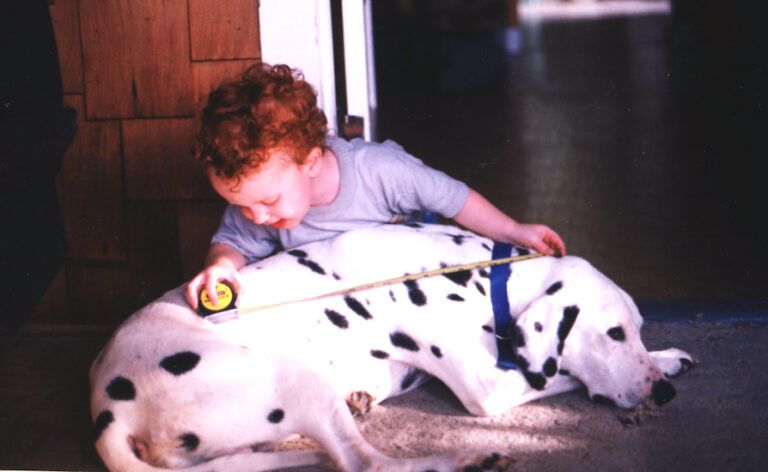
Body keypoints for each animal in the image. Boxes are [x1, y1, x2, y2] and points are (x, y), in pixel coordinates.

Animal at [91, 223, 696, 470]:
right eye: (613, 334)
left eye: (637, 328)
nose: (664, 397)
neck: (484, 276)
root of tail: (108, 408)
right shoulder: (490, 389)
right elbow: (555, 374)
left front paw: (668, 358)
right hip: (298, 379)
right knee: (366, 465)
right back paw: (467, 459)